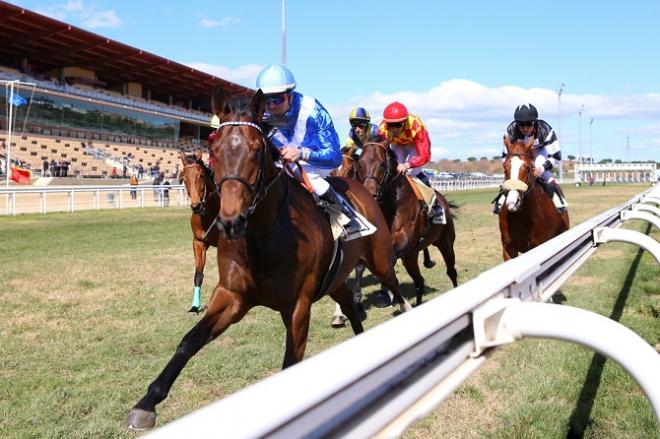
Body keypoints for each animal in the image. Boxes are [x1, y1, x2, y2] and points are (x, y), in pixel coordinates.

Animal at [179, 150, 220, 312]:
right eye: (184, 178)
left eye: (201, 176)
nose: (196, 206)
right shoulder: (198, 243)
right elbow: (198, 274)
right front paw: (195, 307)